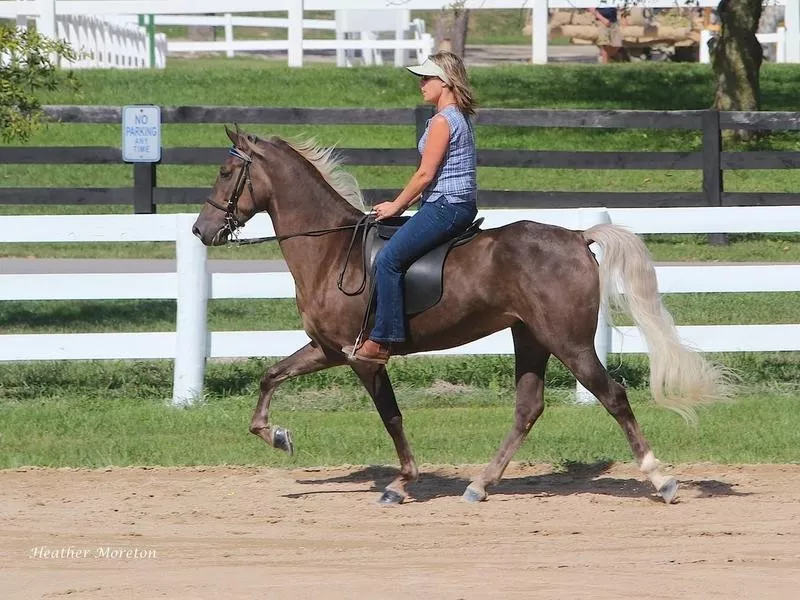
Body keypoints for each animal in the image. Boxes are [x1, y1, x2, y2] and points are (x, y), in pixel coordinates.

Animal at [194, 127, 732, 506]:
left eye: (223, 172)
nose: (201, 230)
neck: (330, 251)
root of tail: (577, 236)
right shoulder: (329, 350)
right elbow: (271, 375)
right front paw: (277, 436)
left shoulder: (363, 358)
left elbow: (391, 416)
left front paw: (402, 483)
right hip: (530, 337)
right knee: (528, 407)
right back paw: (481, 484)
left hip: (569, 342)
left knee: (613, 396)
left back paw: (661, 479)